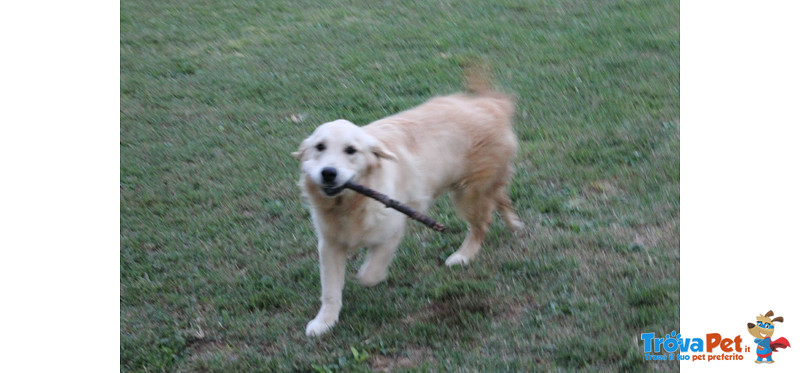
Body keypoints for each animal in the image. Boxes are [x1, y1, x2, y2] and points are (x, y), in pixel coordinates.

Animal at [294, 74, 524, 336]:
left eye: (351, 150)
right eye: (319, 147)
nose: (328, 173)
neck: (350, 203)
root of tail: (493, 104)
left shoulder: (393, 229)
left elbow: (370, 273)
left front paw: (368, 277)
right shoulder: (329, 243)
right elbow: (330, 290)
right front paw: (324, 321)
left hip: (469, 193)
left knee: (481, 224)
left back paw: (463, 255)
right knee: (500, 197)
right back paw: (514, 223)